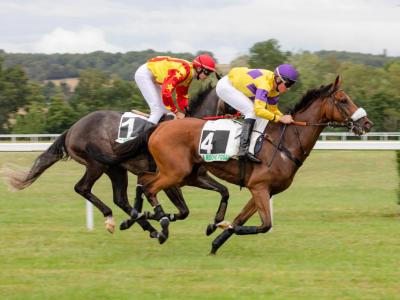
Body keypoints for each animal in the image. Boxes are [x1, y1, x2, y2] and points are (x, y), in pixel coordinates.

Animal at [2, 83, 234, 243]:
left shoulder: (196, 177)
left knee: (120, 198)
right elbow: (180, 209)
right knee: (83, 188)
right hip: (98, 164)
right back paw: (112, 219)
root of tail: (72, 128)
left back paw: (145, 226)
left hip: (116, 169)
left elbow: (220, 192)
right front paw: (157, 218)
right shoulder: (170, 180)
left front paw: (216, 223)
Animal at [92, 76, 374, 254]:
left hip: (184, 173)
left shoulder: (263, 190)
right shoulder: (259, 187)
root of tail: (159, 127)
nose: (367, 123)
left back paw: (139, 218)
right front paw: (220, 226)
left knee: (143, 183)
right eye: (343, 100)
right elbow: (263, 225)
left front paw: (216, 238)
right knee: (149, 186)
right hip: (175, 172)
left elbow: (241, 219)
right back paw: (158, 224)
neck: (286, 143)